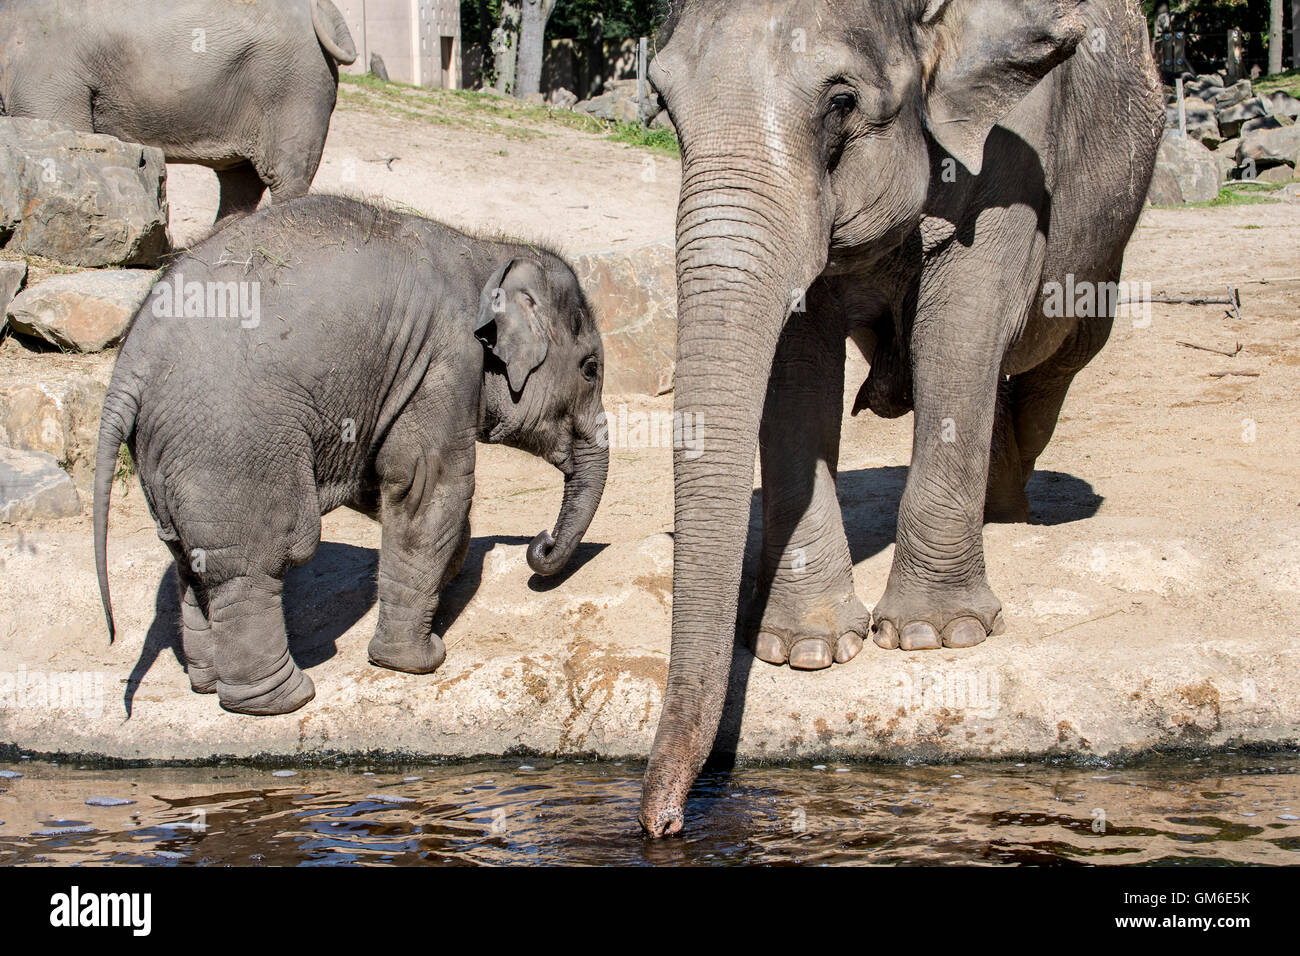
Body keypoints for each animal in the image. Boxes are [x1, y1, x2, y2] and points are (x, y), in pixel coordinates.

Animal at [0, 0, 358, 222]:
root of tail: (327, 12)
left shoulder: (46, 71)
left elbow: (64, 129)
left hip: (295, 84)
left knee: (284, 176)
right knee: (240, 180)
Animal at [94, 196, 611, 717]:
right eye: (590, 370)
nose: (541, 543)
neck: (488, 251)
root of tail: (127, 371)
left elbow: (382, 485)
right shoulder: (444, 362)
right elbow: (429, 487)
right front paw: (417, 662)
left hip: (166, 457)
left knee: (192, 562)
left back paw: (205, 685)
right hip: (230, 446)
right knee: (257, 561)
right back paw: (283, 700)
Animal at [644, 0, 1164, 837]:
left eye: (840, 102)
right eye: (663, 101)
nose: (663, 824)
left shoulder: (1013, 145)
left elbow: (962, 325)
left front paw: (934, 637)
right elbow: (798, 359)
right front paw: (806, 651)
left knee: (1055, 357)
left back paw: (1010, 515)